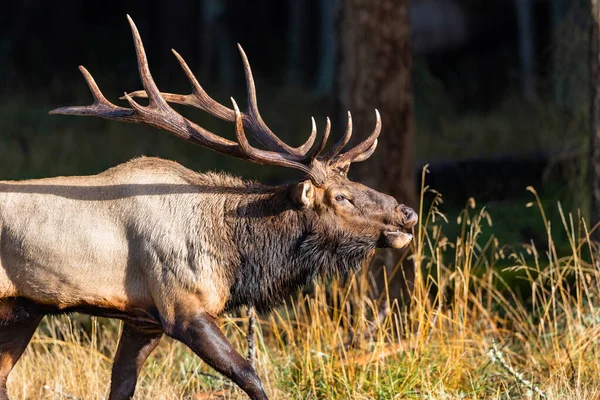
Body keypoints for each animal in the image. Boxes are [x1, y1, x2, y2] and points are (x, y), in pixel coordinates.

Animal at [0, 16, 414, 400]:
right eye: (340, 197)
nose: (405, 212)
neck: (234, 255)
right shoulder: (183, 307)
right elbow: (249, 374)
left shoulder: (144, 319)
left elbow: (122, 386)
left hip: (22, 309)